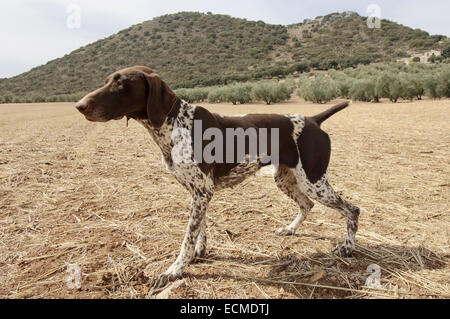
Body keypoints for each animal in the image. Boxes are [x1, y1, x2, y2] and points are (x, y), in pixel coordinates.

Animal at [75, 65, 360, 290]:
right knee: (307, 205)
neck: (174, 123)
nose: (79, 106)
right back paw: (290, 229)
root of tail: (313, 119)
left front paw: (175, 269)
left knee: (352, 210)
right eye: (107, 81)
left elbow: (187, 238)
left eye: (121, 83)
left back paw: (346, 248)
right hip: (287, 179)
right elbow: (200, 229)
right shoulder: (199, 193)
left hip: (314, 181)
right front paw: (199, 253)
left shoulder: (202, 192)